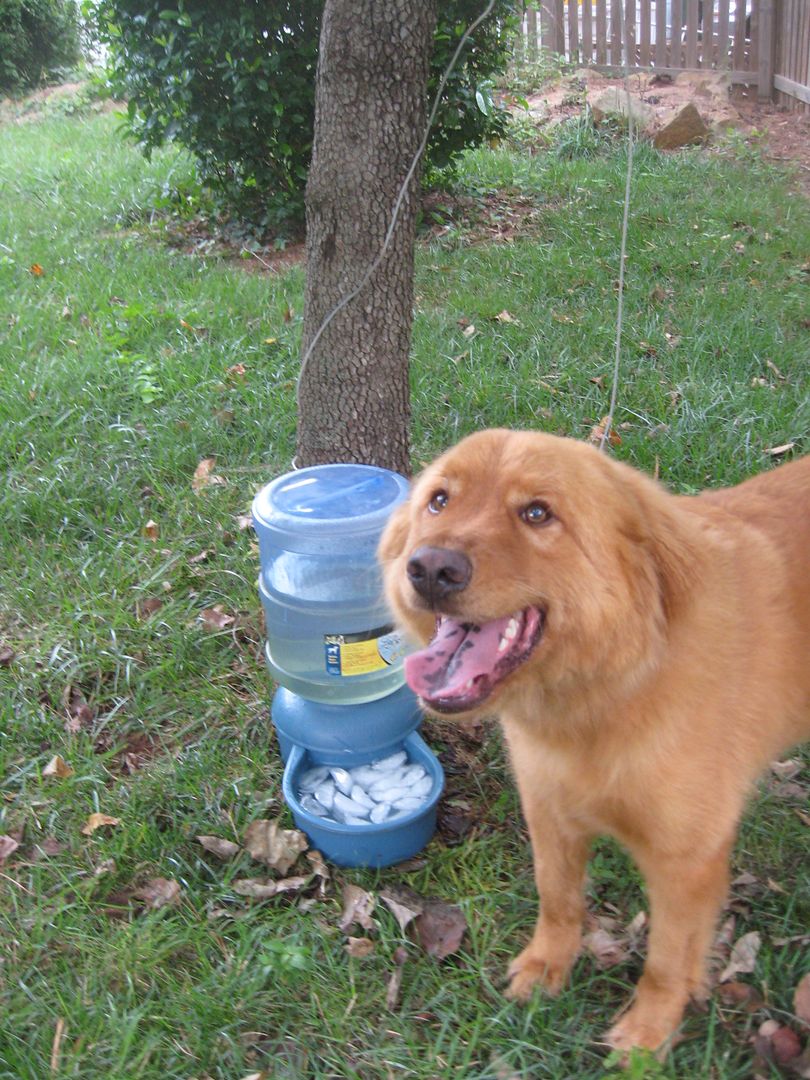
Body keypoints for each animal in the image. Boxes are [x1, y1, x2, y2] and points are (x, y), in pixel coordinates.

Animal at [382, 429, 810, 1054]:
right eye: (439, 501)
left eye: (537, 513)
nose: (431, 568)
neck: (605, 696)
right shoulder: (548, 812)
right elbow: (558, 900)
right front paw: (547, 967)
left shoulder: (687, 861)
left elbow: (666, 960)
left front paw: (648, 1032)